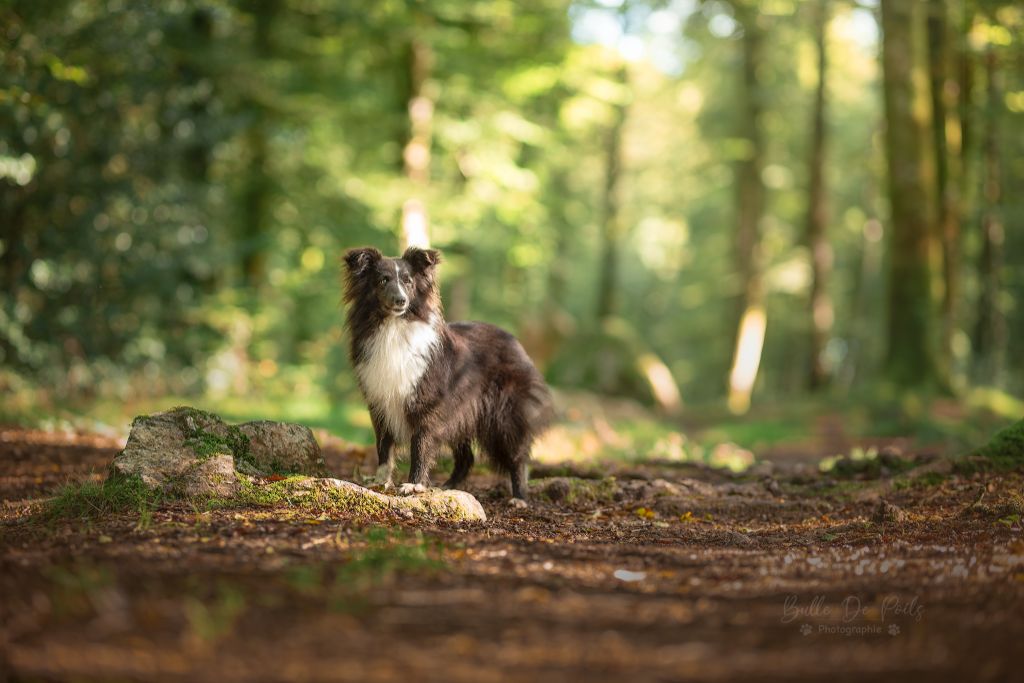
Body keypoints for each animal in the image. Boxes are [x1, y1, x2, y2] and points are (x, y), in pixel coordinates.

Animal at [344, 245, 552, 501]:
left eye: (408, 281)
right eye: (383, 280)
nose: (401, 301)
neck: (394, 327)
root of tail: (516, 342)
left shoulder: (428, 405)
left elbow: (420, 444)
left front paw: (414, 485)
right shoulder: (380, 402)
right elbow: (384, 446)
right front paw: (381, 482)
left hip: (504, 414)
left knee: (517, 455)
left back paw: (519, 498)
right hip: (461, 413)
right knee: (466, 458)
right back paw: (448, 486)